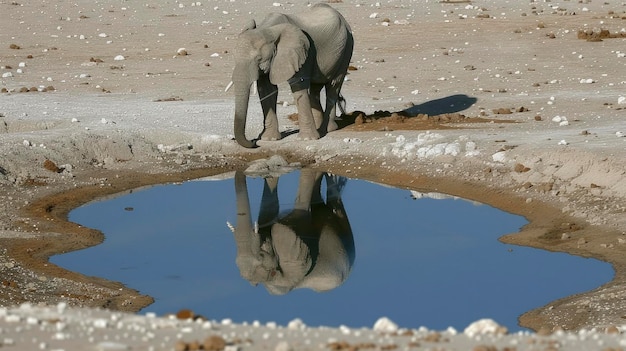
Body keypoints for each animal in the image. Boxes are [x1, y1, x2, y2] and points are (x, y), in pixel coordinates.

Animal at [232, 3, 354, 148]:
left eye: (259, 59)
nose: (254, 141)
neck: (269, 30)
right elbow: (267, 90)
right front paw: (269, 139)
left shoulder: (302, 51)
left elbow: (298, 87)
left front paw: (307, 139)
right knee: (316, 88)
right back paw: (320, 128)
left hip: (347, 47)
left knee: (333, 86)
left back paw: (327, 129)